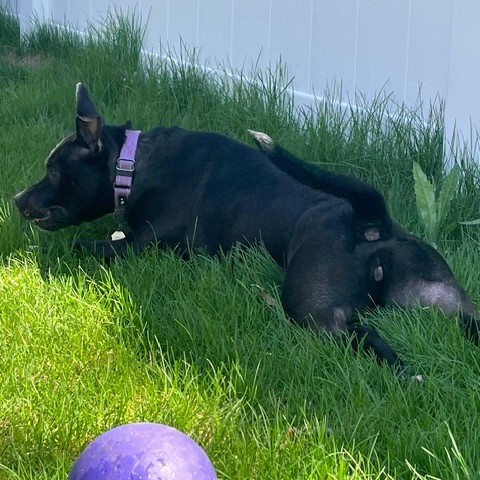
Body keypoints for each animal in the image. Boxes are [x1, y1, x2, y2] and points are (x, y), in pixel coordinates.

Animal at [13, 82, 478, 376]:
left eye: (53, 171)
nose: (17, 199)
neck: (134, 163)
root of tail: (372, 225)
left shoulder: (144, 244)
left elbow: (81, 246)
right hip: (444, 301)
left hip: (312, 310)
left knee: (356, 333)